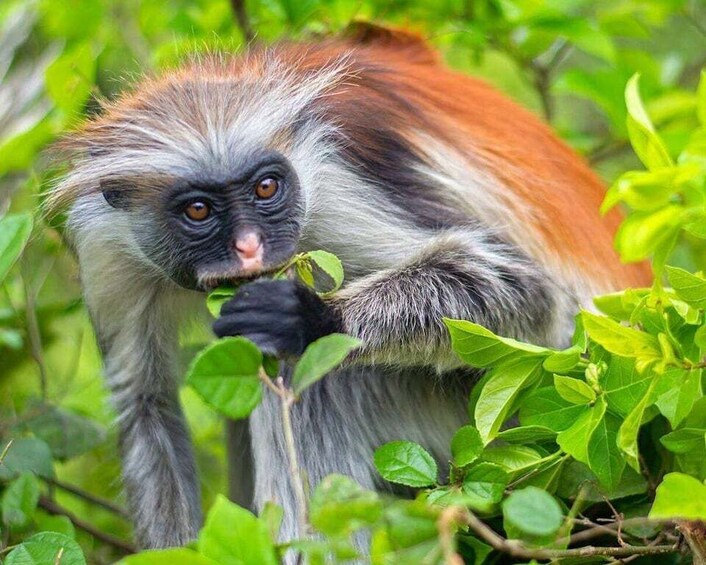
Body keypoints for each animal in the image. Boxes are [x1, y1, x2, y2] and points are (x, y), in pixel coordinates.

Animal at [48, 24, 651, 553]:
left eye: (266, 188)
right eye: (198, 210)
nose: (249, 248)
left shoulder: (334, 182)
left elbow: (527, 288)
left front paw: (311, 318)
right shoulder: (107, 244)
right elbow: (145, 404)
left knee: (316, 381)